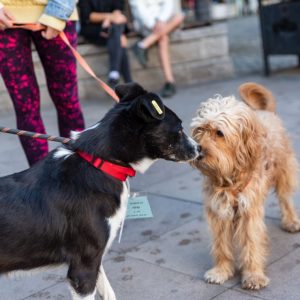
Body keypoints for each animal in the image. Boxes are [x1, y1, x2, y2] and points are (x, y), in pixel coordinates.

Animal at [0, 82, 202, 300]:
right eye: (179, 129)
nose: (200, 149)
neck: (101, 163)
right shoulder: (83, 268)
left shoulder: (95, 257)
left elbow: (107, 291)